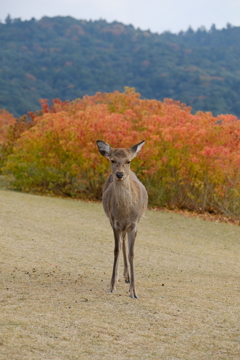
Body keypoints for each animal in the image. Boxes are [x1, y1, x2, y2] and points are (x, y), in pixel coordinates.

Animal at [96, 140, 147, 298]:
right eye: (112, 160)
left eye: (128, 161)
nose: (119, 174)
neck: (125, 213)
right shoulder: (115, 223)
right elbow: (116, 250)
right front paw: (112, 285)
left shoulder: (134, 225)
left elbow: (131, 254)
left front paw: (133, 291)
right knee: (121, 243)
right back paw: (120, 277)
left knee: (124, 242)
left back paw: (127, 276)